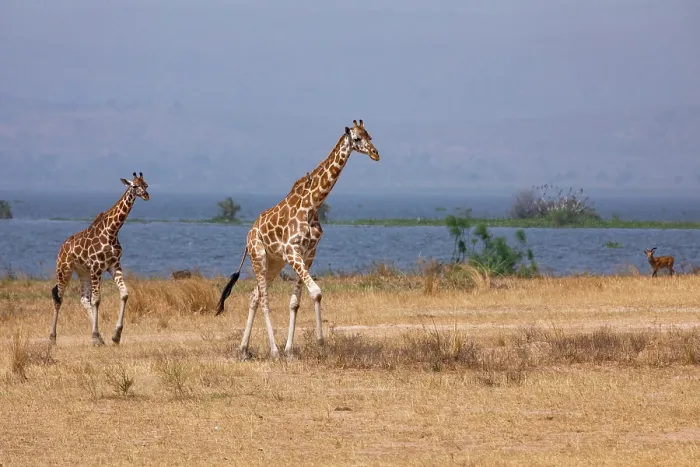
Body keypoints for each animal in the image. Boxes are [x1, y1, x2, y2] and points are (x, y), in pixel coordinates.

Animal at [50, 172, 150, 346]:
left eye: (146, 185)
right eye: (134, 185)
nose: (146, 195)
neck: (112, 231)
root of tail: (62, 248)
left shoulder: (114, 265)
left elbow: (124, 294)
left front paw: (115, 335)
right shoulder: (97, 266)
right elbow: (96, 300)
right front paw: (95, 337)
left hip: (83, 272)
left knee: (84, 299)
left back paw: (100, 338)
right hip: (64, 270)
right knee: (58, 298)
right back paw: (53, 338)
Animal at [216, 119, 380, 359]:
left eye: (370, 136)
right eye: (357, 138)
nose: (376, 154)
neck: (313, 204)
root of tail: (249, 235)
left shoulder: (308, 253)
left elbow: (295, 302)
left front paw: (290, 350)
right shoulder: (292, 251)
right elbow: (316, 292)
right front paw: (319, 343)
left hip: (274, 262)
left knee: (254, 295)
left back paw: (244, 350)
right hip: (259, 255)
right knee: (264, 298)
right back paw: (273, 350)